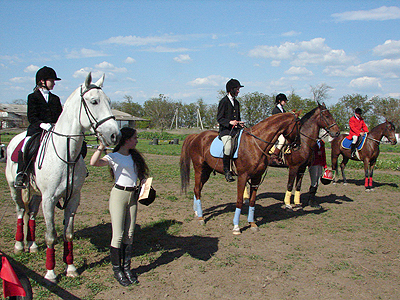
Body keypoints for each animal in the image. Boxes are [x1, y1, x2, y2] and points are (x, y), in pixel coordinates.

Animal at [5, 72, 120, 282]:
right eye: (94, 101)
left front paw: (71, 268)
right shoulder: (50, 199)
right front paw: (50, 273)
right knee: (20, 210)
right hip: (14, 188)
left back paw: (32, 245)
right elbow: (51, 235)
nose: (115, 135)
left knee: (31, 213)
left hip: (37, 194)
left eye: (109, 101)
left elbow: (68, 234)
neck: (66, 154)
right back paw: (19, 246)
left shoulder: (73, 198)